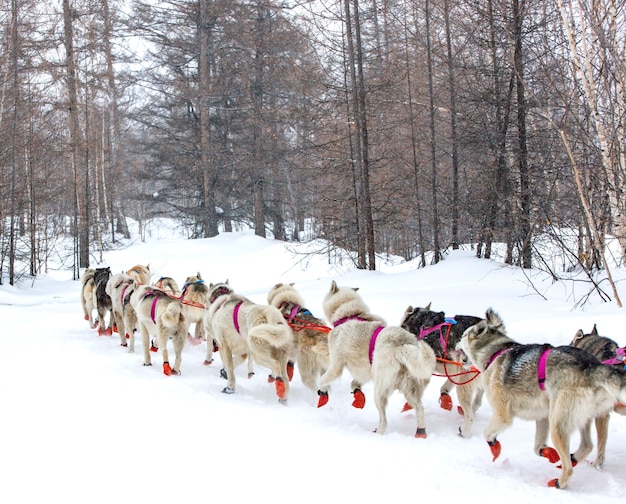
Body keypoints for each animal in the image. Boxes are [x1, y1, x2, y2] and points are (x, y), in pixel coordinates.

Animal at [316, 280, 434, 438]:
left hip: (379, 392)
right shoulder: (364, 372)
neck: (348, 314)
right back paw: (421, 432)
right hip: (410, 391)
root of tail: (401, 345)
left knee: (384, 420)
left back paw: (378, 434)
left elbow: (322, 381)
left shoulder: (336, 366)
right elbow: (354, 385)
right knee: (420, 409)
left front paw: (322, 395)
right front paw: (358, 396)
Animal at [400, 304, 482, 438]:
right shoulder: (453, 372)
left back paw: (464, 432)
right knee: (477, 402)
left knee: (470, 416)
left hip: (463, 385)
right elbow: (444, 388)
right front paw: (445, 399)